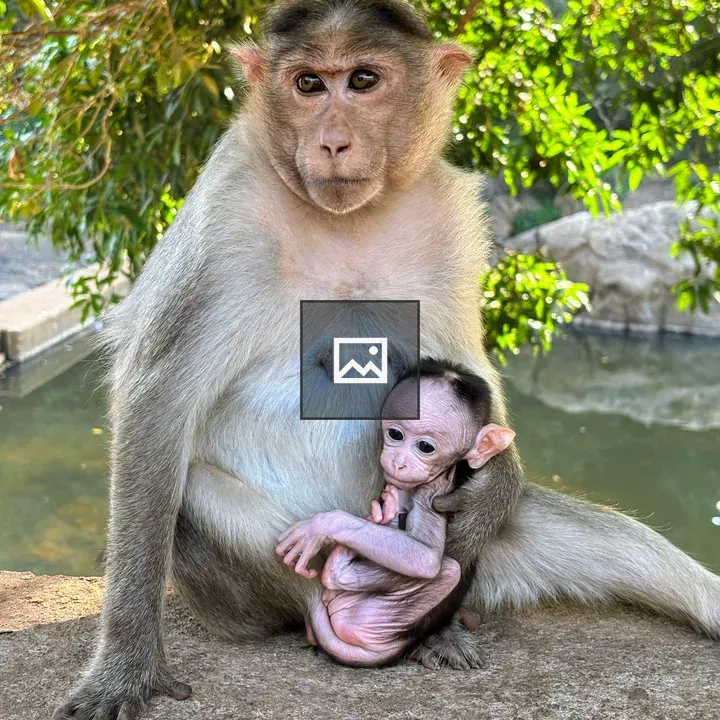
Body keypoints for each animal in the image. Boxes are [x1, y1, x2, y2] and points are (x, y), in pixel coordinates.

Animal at [276, 359, 515, 667]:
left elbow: (424, 557)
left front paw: (323, 525)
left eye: (425, 447)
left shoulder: (434, 495)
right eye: (395, 434)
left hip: (368, 620)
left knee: (448, 568)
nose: (398, 462)